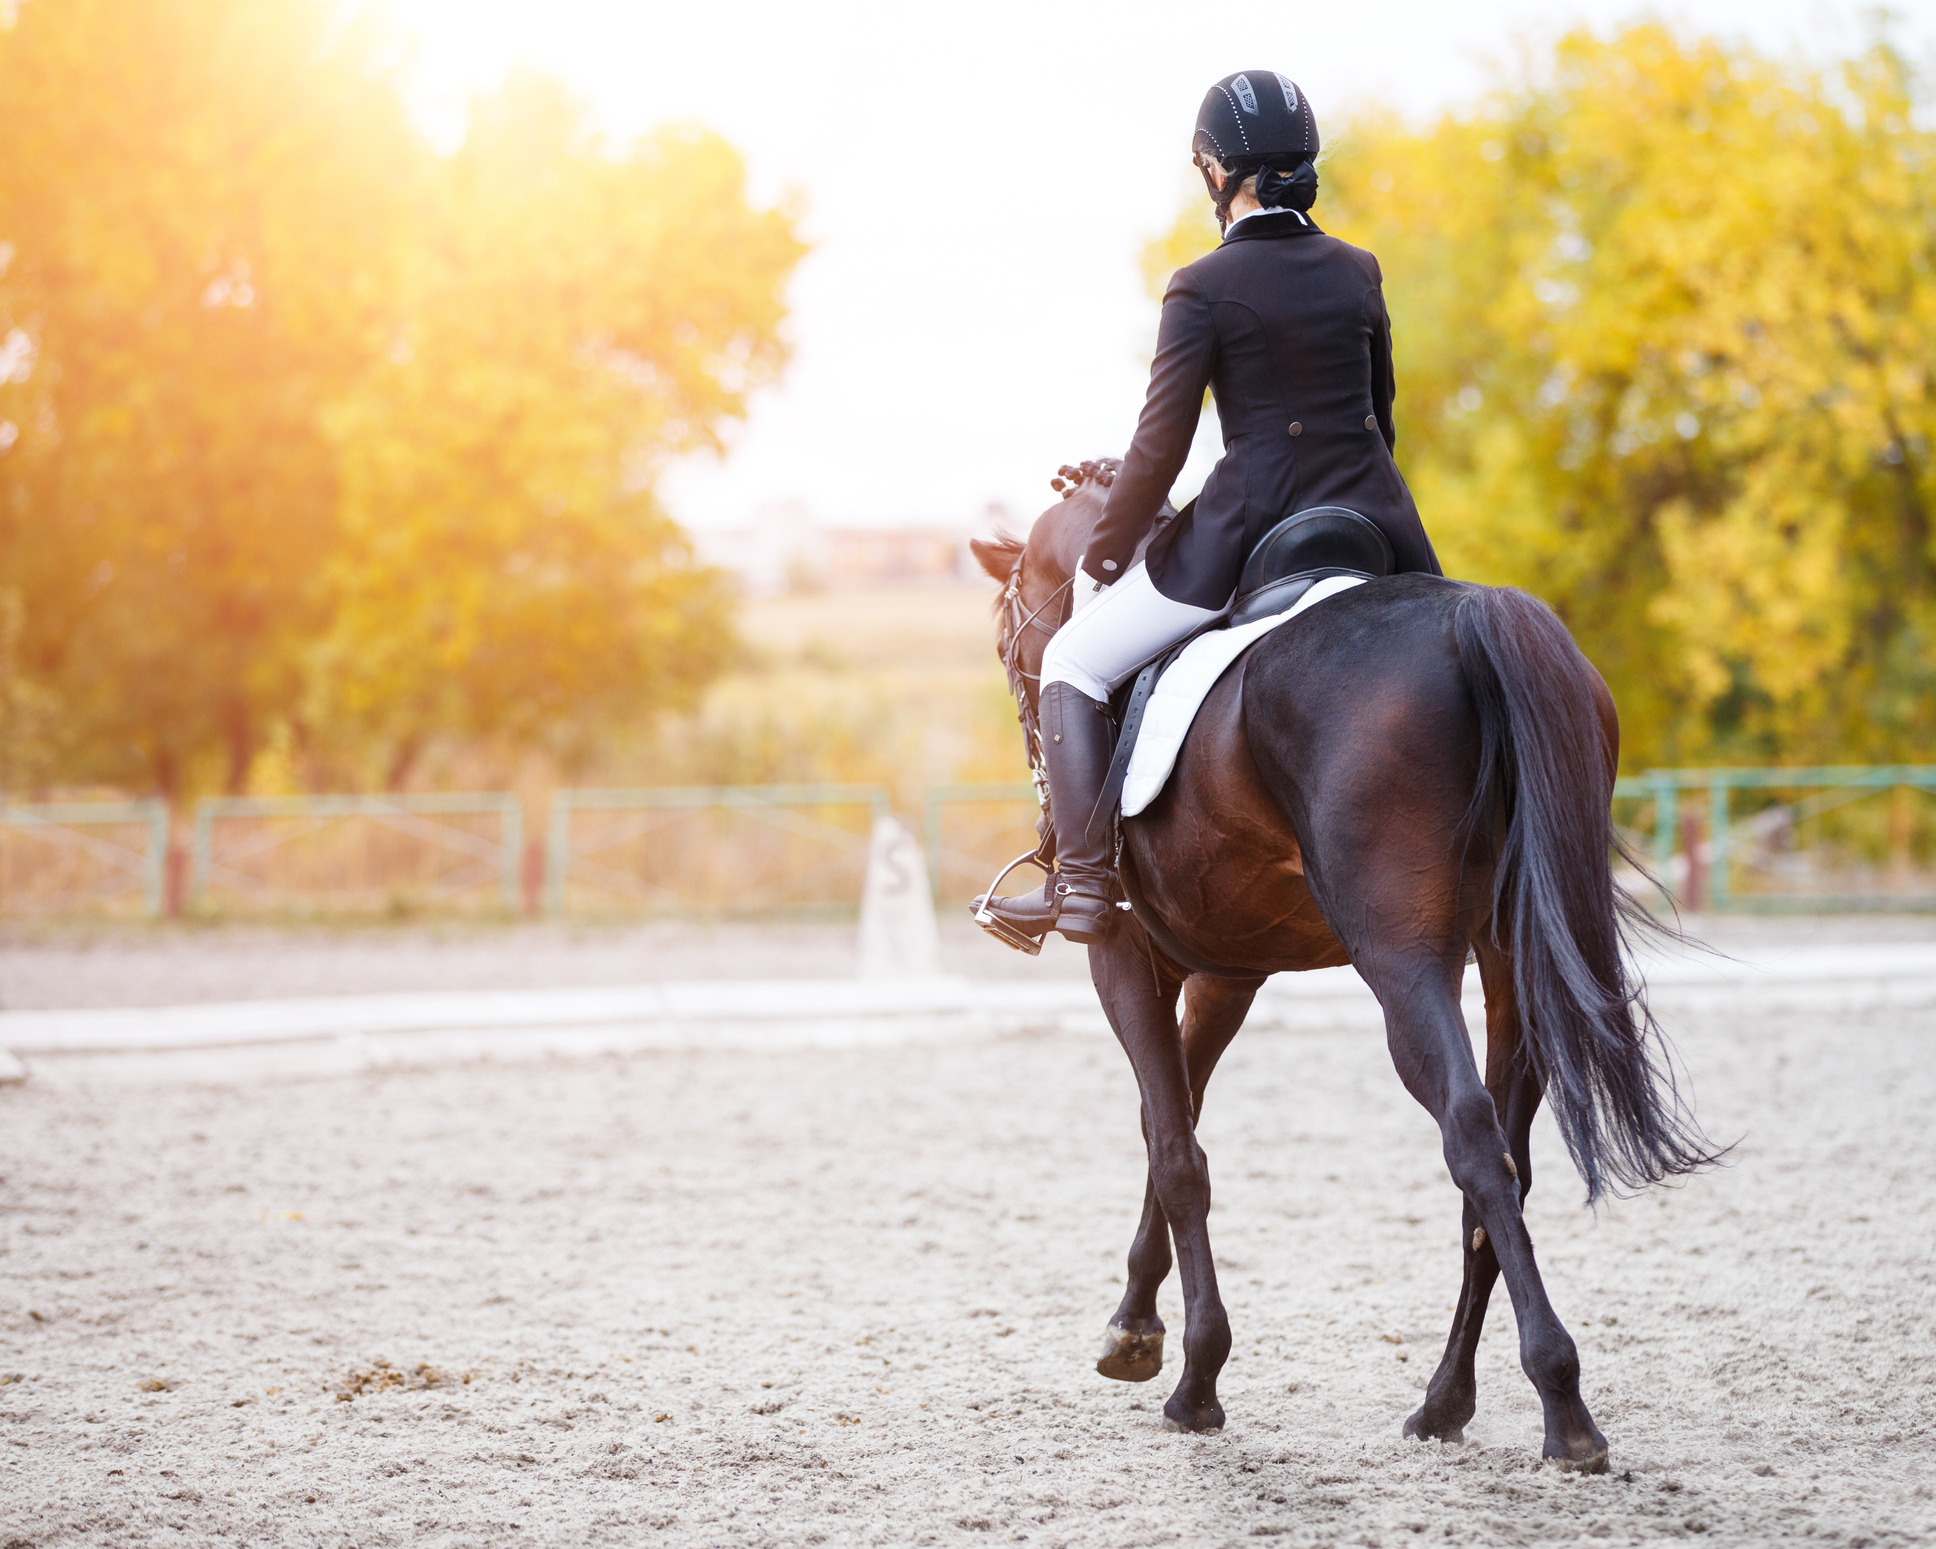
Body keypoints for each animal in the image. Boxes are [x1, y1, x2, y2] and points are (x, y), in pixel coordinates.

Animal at [964, 466, 1711, 1471]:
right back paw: (1445, 1402)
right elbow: (1175, 1121)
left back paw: (1564, 1408)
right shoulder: (1226, 971)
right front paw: (1134, 1328)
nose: (1037, 764)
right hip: (1511, 967)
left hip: (1401, 961)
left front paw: (1195, 1379)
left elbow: (1175, 1147)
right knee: (1504, 1168)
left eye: (1009, 630)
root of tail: (1473, 616)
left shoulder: (1122, 957)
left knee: (1471, 1136)